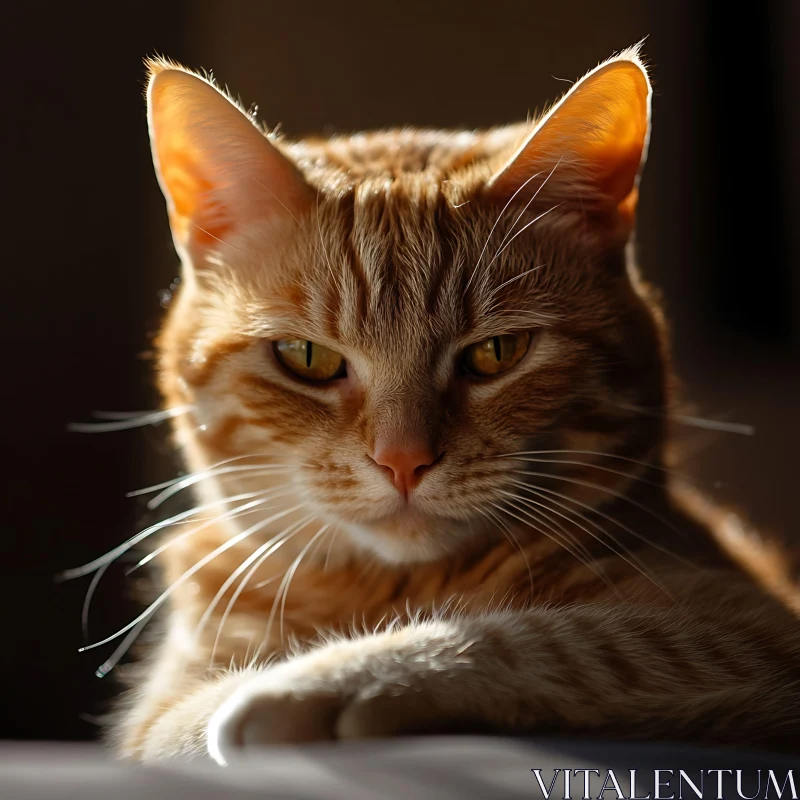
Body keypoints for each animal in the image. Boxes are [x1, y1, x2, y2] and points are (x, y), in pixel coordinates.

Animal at [108, 45, 800, 764]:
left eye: (496, 352)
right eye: (307, 358)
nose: (403, 461)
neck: (392, 590)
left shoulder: (754, 634)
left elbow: (555, 636)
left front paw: (315, 682)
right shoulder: (155, 715)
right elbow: (172, 727)